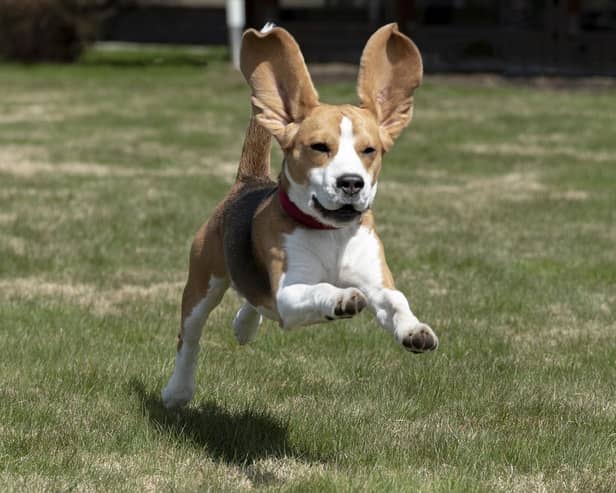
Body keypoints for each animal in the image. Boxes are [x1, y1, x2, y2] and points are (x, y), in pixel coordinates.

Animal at [162, 24, 438, 408]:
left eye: (369, 150)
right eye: (319, 147)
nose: (351, 182)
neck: (331, 233)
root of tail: (248, 181)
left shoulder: (375, 280)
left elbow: (396, 300)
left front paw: (415, 331)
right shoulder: (290, 294)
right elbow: (319, 288)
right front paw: (341, 298)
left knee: (254, 300)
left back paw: (244, 326)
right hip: (203, 283)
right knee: (189, 339)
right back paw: (177, 391)